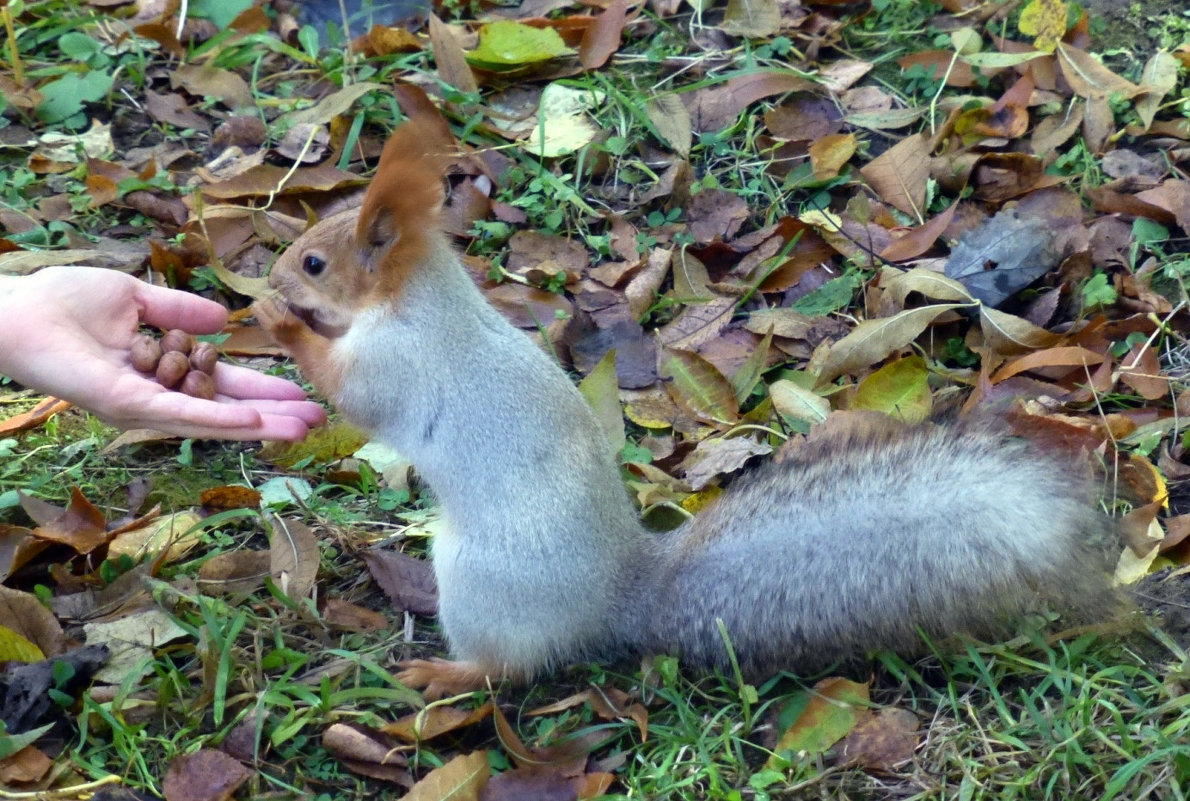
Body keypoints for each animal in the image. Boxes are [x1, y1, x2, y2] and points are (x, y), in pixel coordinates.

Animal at [251, 120, 1113, 699]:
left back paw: (442, 671)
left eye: (316, 261)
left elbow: (356, 394)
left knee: (509, 667)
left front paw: (277, 320)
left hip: (480, 581)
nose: (274, 272)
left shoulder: (401, 361)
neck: (419, 298)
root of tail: (621, 593)